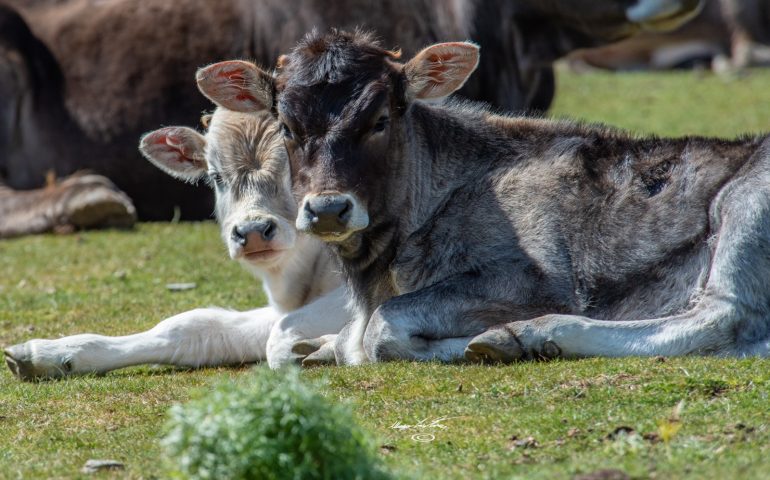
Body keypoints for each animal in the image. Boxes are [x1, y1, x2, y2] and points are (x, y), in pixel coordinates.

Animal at [201, 31, 764, 364]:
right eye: (287, 126)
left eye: (380, 119)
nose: (327, 209)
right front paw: (322, 347)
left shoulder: (530, 279)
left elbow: (379, 332)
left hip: (744, 207)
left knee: (722, 316)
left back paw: (524, 335)